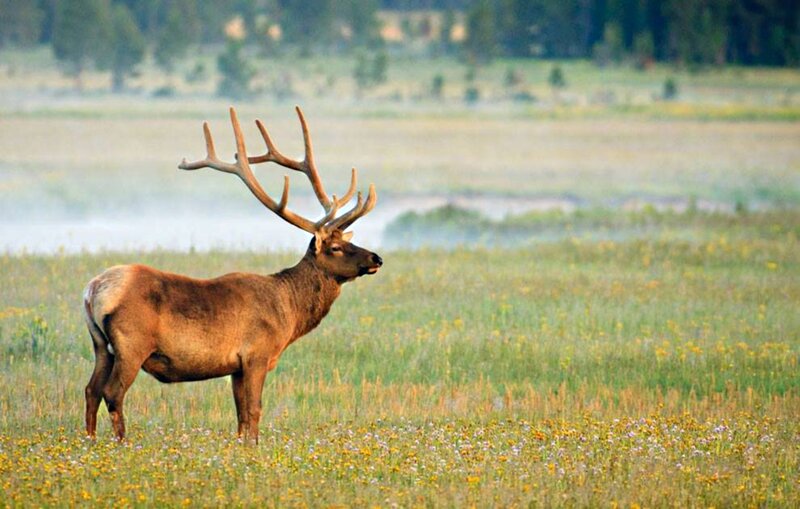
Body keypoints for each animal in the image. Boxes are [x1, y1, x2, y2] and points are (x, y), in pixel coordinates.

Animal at [82, 107, 382, 443]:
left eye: (348, 240)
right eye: (335, 247)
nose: (376, 258)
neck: (288, 312)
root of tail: (93, 290)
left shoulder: (236, 366)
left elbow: (240, 415)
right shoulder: (256, 354)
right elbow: (254, 411)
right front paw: (254, 447)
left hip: (100, 344)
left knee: (91, 390)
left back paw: (90, 441)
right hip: (131, 343)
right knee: (112, 392)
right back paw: (122, 443)